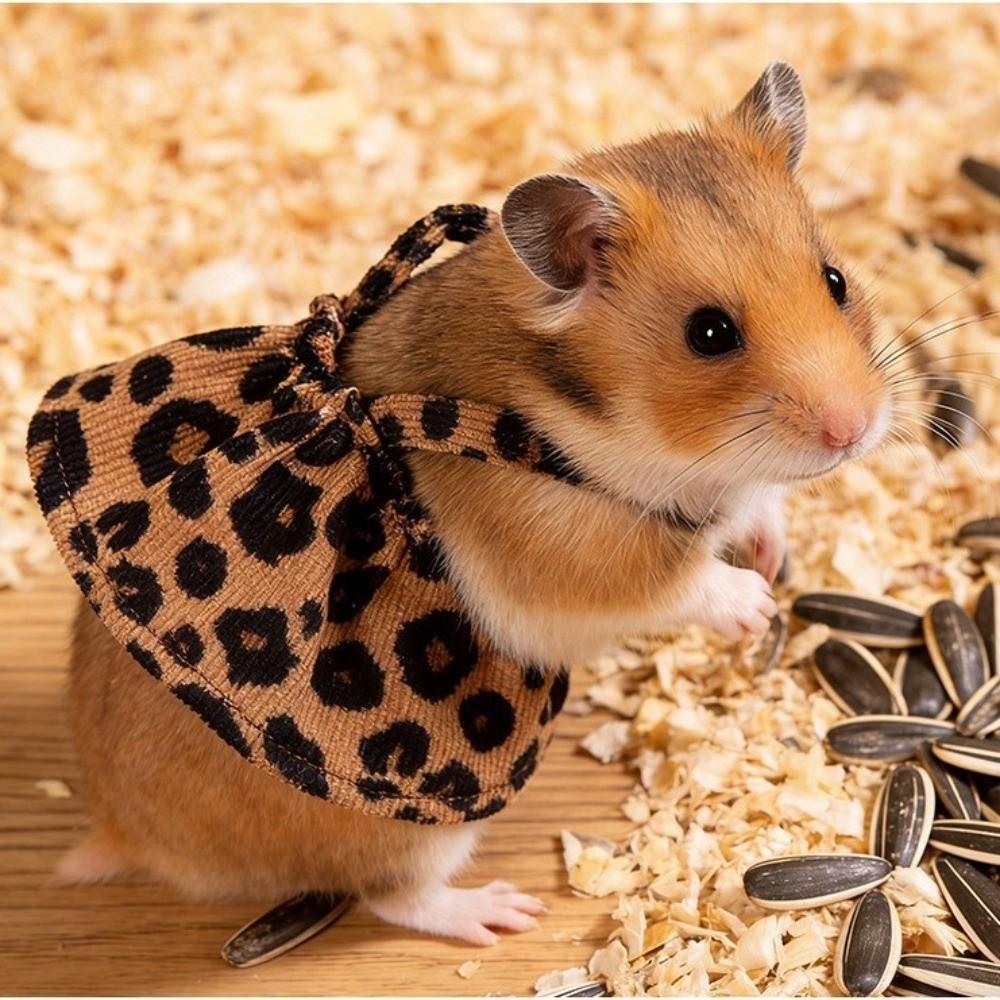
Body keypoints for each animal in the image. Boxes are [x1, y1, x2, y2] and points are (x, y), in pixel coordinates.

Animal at [60, 63, 891, 946]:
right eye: (709, 333)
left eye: (835, 281)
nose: (854, 431)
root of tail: (123, 829)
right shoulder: (567, 551)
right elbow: (672, 581)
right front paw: (758, 607)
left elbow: (760, 505)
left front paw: (774, 557)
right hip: (413, 820)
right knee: (394, 896)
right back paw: (503, 913)